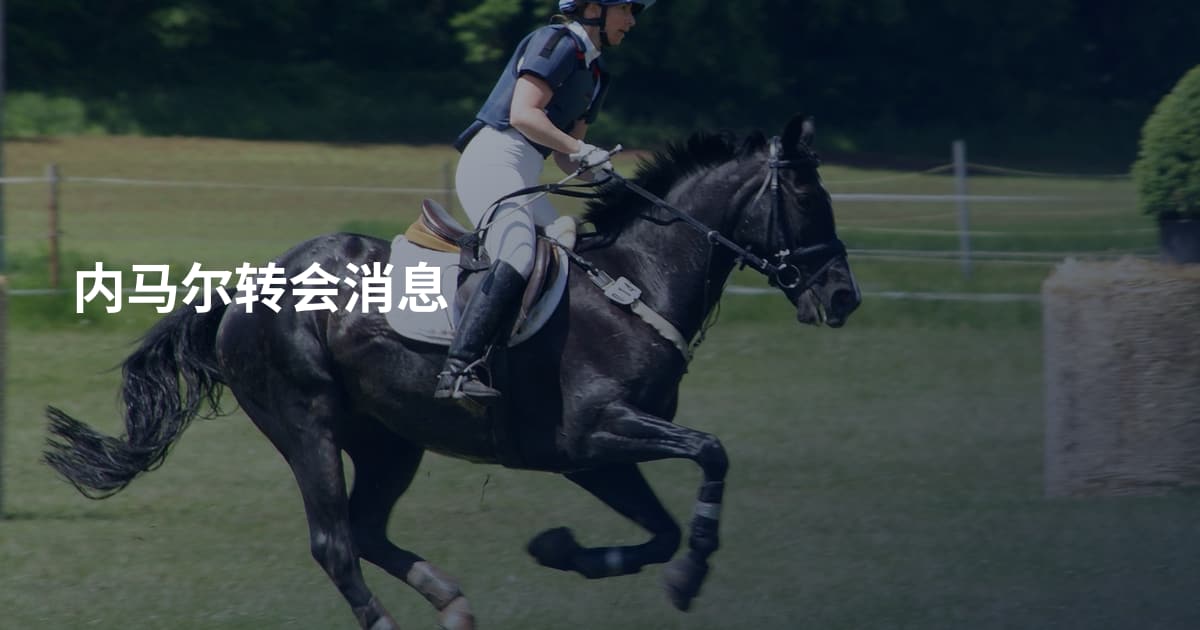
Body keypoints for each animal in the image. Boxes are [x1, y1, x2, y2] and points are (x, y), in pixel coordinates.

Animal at [44, 114, 861, 630]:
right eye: (805, 196)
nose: (843, 297)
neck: (638, 283)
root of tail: (248, 287)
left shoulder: (593, 456)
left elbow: (659, 529)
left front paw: (565, 552)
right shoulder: (596, 433)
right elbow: (712, 453)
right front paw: (690, 577)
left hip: (389, 439)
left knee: (367, 530)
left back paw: (453, 603)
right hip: (305, 421)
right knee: (335, 542)